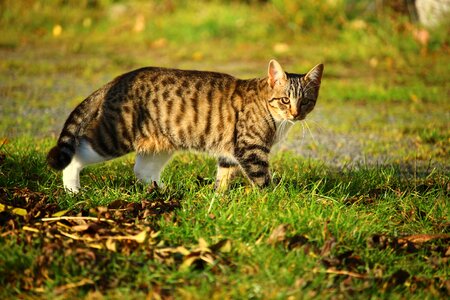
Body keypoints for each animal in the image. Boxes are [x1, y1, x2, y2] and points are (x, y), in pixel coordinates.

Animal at [46, 59, 324, 193]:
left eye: (306, 101)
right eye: (285, 100)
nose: (296, 114)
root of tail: (119, 78)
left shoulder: (230, 152)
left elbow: (223, 177)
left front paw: (218, 197)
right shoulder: (250, 149)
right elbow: (262, 179)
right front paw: (275, 200)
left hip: (160, 144)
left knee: (142, 171)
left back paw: (163, 191)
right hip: (114, 136)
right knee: (77, 155)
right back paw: (72, 190)